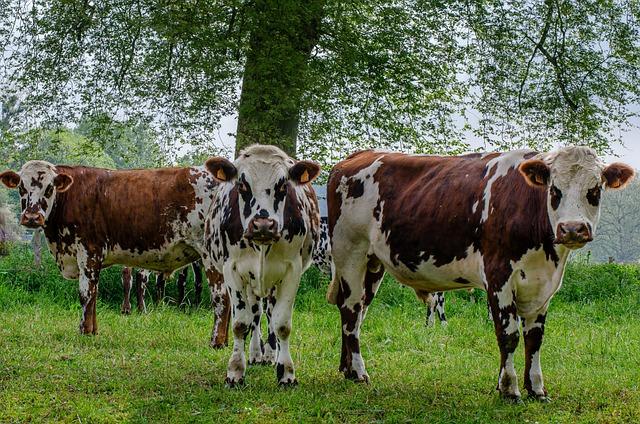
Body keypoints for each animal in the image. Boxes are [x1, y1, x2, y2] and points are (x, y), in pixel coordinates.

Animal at [0, 161, 230, 346]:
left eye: (49, 188)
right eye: (21, 187)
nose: (31, 217)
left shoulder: (88, 252)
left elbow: (86, 294)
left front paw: (84, 331)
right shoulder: (94, 259)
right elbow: (94, 294)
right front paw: (93, 331)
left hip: (211, 255)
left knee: (221, 296)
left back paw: (216, 342)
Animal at [204, 146, 322, 388]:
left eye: (283, 185)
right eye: (242, 185)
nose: (263, 225)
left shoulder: (292, 271)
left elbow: (282, 324)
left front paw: (286, 372)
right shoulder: (232, 269)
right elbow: (241, 323)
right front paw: (235, 371)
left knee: (269, 313)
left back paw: (269, 355)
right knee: (256, 314)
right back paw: (256, 354)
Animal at [324, 147, 636, 402]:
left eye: (594, 190)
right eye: (554, 190)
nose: (572, 229)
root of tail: (356, 156)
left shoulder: (543, 285)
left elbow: (535, 338)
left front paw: (536, 389)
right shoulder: (499, 276)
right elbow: (508, 335)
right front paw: (509, 389)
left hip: (373, 264)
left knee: (356, 311)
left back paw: (345, 368)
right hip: (350, 253)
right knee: (351, 311)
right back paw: (358, 373)